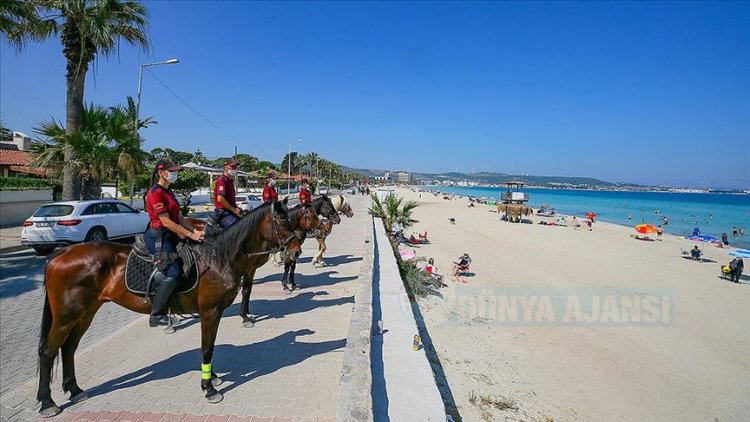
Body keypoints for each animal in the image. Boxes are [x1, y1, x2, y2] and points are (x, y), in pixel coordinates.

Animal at [37, 202, 314, 418]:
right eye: (282, 221)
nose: (296, 249)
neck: (219, 258)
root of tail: (60, 254)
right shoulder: (210, 310)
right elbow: (206, 348)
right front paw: (209, 388)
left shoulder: (216, 311)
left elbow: (211, 346)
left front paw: (212, 377)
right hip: (66, 316)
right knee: (49, 351)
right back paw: (47, 402)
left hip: (86, 312)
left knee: (69, 348)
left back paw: (74, 390)